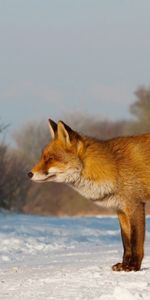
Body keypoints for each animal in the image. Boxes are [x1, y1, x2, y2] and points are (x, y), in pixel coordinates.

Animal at [27, 119, 150, 272]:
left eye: (50, 158)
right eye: (42, 157)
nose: (29, 174)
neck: (114, 167)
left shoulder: (135, 205)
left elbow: (135, 241)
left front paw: (133, 266)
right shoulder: (121, 210)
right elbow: (126, 242)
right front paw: (124, 265)